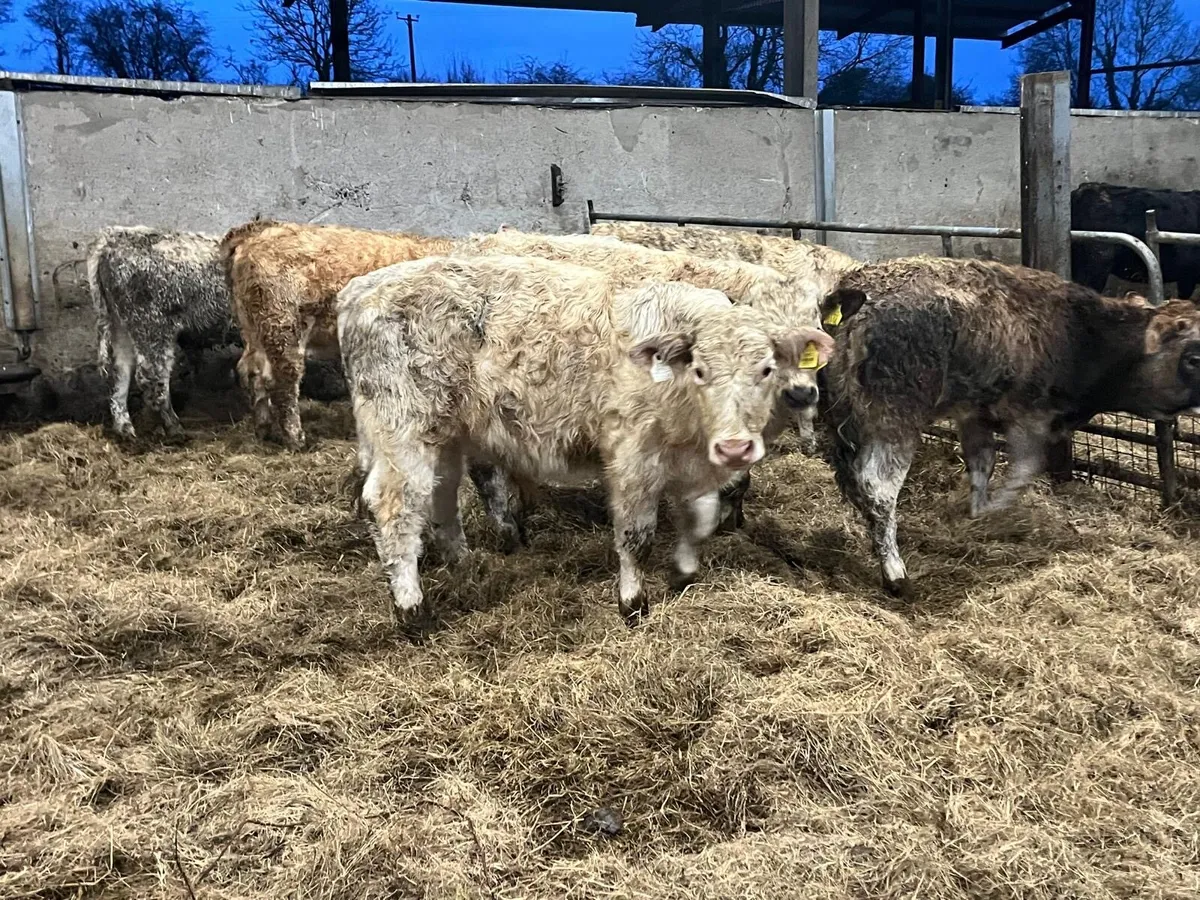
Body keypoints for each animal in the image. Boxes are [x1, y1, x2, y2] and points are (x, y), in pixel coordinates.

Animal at [88, 225, 236, 442]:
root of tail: (116, 236)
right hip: (152, 327)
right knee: (152, 377)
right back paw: (174, 428)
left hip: (120, 326)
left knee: (120, 373)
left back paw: (125, 429)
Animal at [336, 253, 825, 633]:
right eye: (701, 370)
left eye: (765, 368)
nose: (736, 448)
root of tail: (361, 290)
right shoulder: (632, 456)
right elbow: (636, 536)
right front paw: (633, 604)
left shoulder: (694, 466)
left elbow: (700, 518)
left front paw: (685, 572)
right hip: (403, 429)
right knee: (393, 507)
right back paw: (413, 611)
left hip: (445, 433)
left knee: (441, 497)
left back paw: (465, 564)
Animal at [819, 256, 1200, 597]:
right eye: (1195, 357)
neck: (1083, 334)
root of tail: (860, 294)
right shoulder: (1029, 419)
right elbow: (1023, 472)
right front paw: (998, 511)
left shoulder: (973, 415)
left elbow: (982, 464)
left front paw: (977, 513)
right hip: (894, 417)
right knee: (878, 487)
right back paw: (895, 573)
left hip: (843, 419)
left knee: (851, 479)